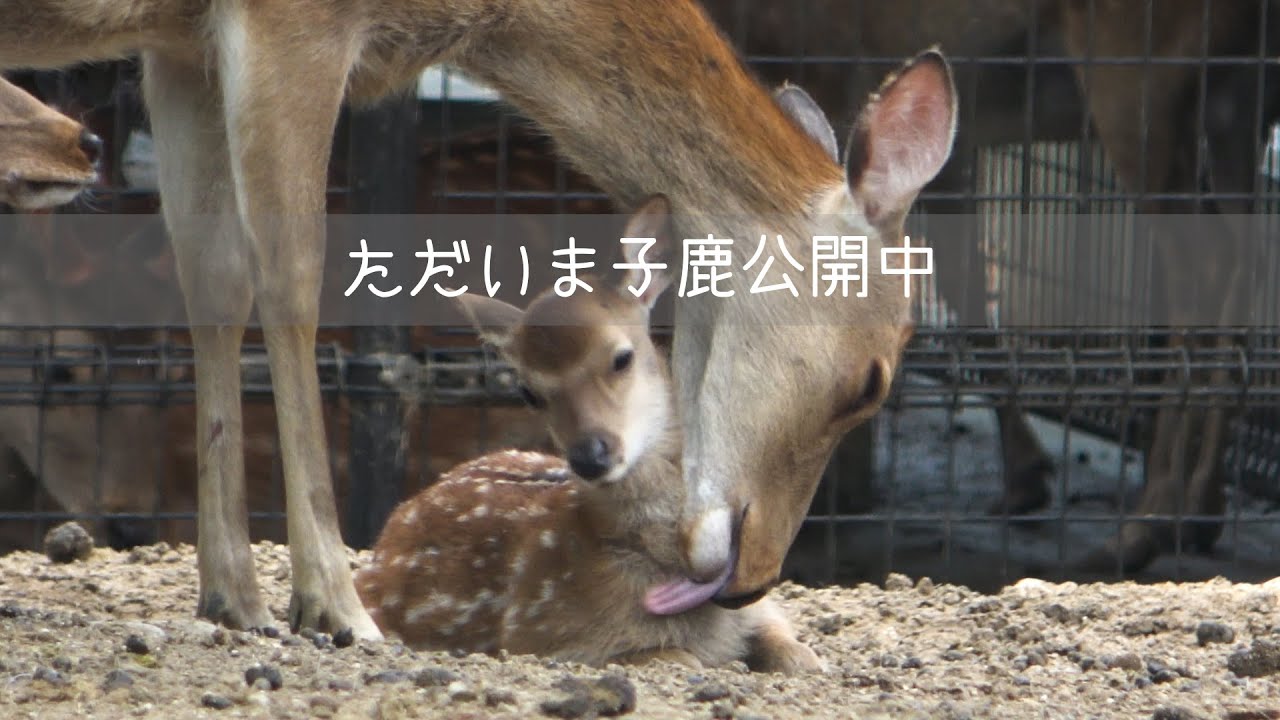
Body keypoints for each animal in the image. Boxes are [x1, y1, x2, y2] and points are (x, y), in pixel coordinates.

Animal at [357, 196, 824, 674]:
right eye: (528, 391)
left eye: (622, 357)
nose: (590, 455)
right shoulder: (546, 633)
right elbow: (677, 657)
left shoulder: (763, 607)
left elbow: (799, 654)